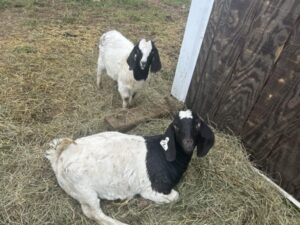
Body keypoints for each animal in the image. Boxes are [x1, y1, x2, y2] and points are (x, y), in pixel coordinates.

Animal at [45, 109, 214, 225]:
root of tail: (60, 155)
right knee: (94, 213)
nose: (188, 143)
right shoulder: (152, 190)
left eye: (197, 124)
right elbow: (176, 196)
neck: (165, 154)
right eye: (176, 126)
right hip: (85, 191)